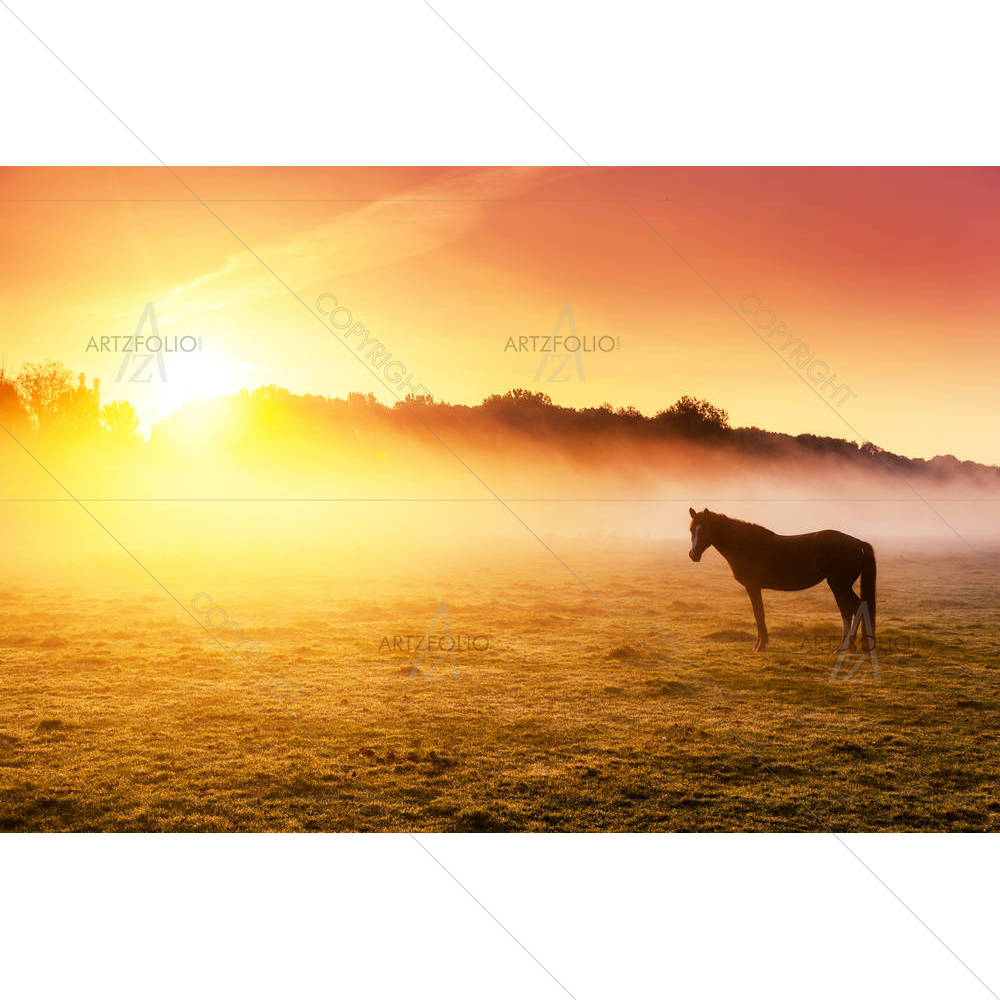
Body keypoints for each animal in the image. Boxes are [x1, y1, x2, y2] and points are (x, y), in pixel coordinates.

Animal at [687, 507, 876, 653]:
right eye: (691, 530)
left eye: (704, 529)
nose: (693, 555)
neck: (746, 545)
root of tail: (856, 542)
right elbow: (759, 614)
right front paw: (760, 644)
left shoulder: (753, 587)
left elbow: (759, 613)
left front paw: (761, 646)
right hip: (843, 586)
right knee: (855, 608)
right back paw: (851, 646)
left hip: (839, 586)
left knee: (850, 610)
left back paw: (844, 646)